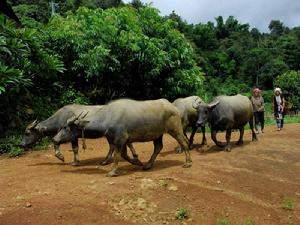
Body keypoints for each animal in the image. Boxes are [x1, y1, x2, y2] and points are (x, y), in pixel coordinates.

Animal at [52, 99, 191, 177]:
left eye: (66, 128)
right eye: (62, 126)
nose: (54, 139)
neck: (107, 117)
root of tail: (173, 107)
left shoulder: (120, 139)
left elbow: (117, 155)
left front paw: (113, 171)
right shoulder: (121, 140)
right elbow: (124, 155)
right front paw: (137, 162)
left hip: (176, 130)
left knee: (184, 143)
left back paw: (188, 162)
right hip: (157, 134)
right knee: (158, 147)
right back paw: (148, 165)